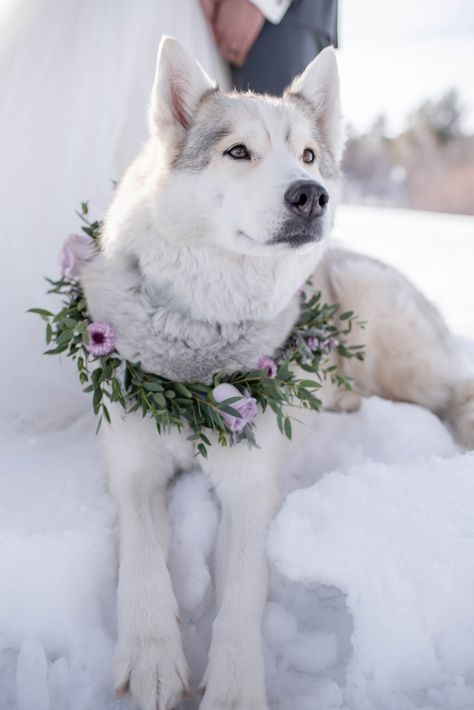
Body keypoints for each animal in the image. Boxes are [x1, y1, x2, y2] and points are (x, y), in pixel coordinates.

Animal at [82, 37, 474, 710]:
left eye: (309, 155)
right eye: (238, 151)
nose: (311, 194)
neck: (200, 342)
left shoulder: (250, 485)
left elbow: (242, 589)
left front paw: (233, 688)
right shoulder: (132, 466)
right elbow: (140, 549)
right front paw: (152, 652)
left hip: (400, 356)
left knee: (455, 393)